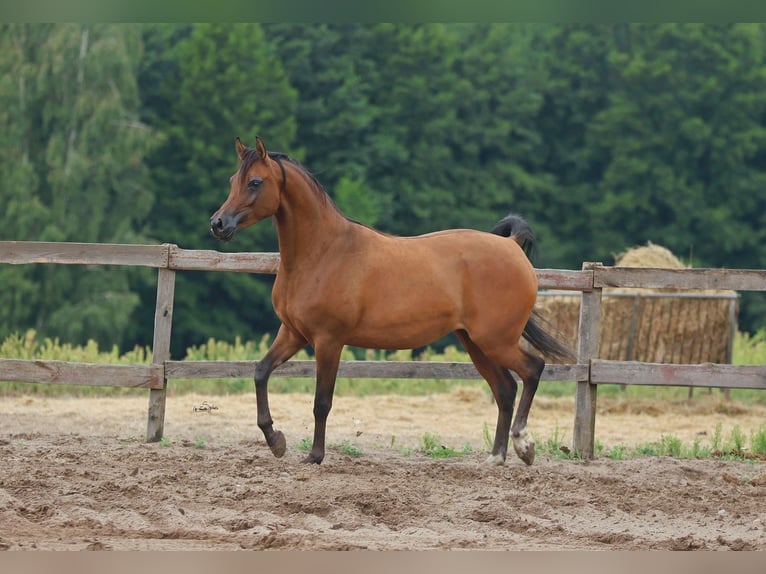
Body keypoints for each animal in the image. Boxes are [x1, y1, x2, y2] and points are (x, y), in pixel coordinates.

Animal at [212, 136, 576, 468]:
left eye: (255, 182)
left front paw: (314, 456)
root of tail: (511, 246)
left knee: (533, 370)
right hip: (475, 342)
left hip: (496, 340)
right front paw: (276, 441)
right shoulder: (293, 333)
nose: (218, 224)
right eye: (231, 180)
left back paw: (523, 445)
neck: (322, 253)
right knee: (505, 389)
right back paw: (495, 458)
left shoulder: (328, 341)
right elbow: (260, 372)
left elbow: (321, 402)